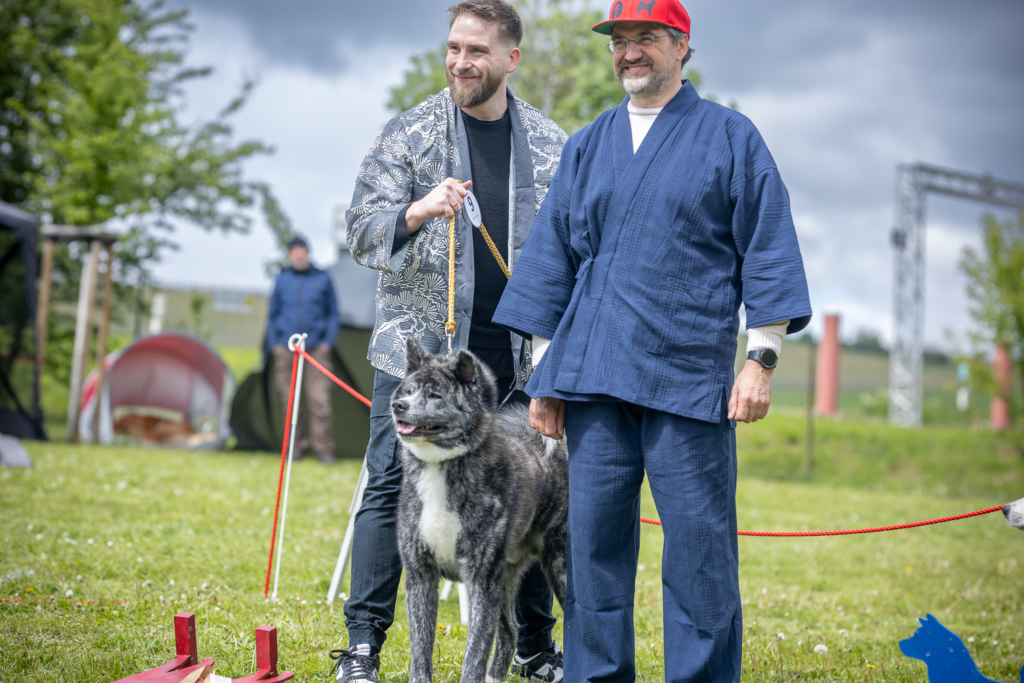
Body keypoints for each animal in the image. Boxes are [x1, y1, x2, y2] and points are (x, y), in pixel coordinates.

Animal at [391, 339, 569, 683]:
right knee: (511, 630)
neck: (442, 466)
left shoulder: (480, 580)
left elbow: (474, 654)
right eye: (408, 390)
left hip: (560, 567)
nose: (398, 406)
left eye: (435, 395)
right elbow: (421, 649)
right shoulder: (421, 576)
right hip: (505, 577)